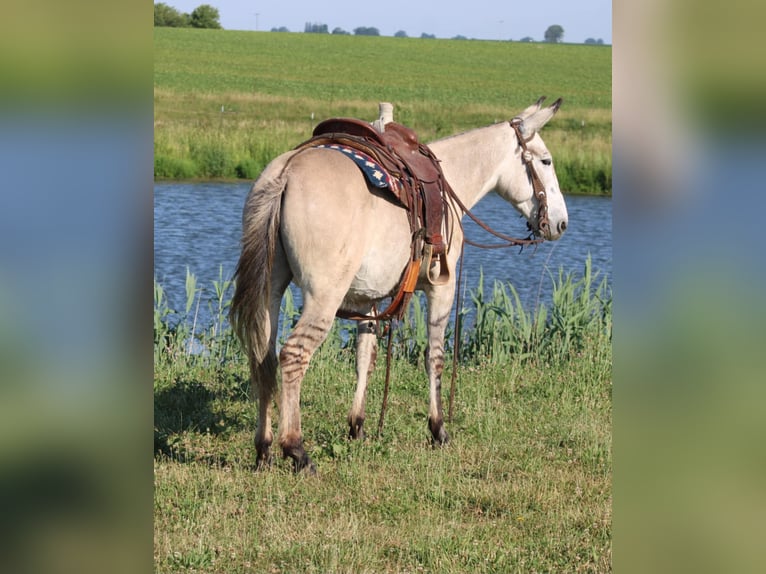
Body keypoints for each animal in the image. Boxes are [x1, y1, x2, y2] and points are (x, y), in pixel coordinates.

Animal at [230, 98, 568, 473]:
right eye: (546, 160)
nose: (561, 223)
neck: (450, 181)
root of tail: (287, 171)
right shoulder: (441, 290)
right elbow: (434, 357)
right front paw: (438, 430)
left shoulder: (366, 299)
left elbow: (366, 356)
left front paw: (357, 427)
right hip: (323, 298)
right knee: (293, 355)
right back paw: (296, 450)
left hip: (271, 290)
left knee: (264, 358)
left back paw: (263, 449)